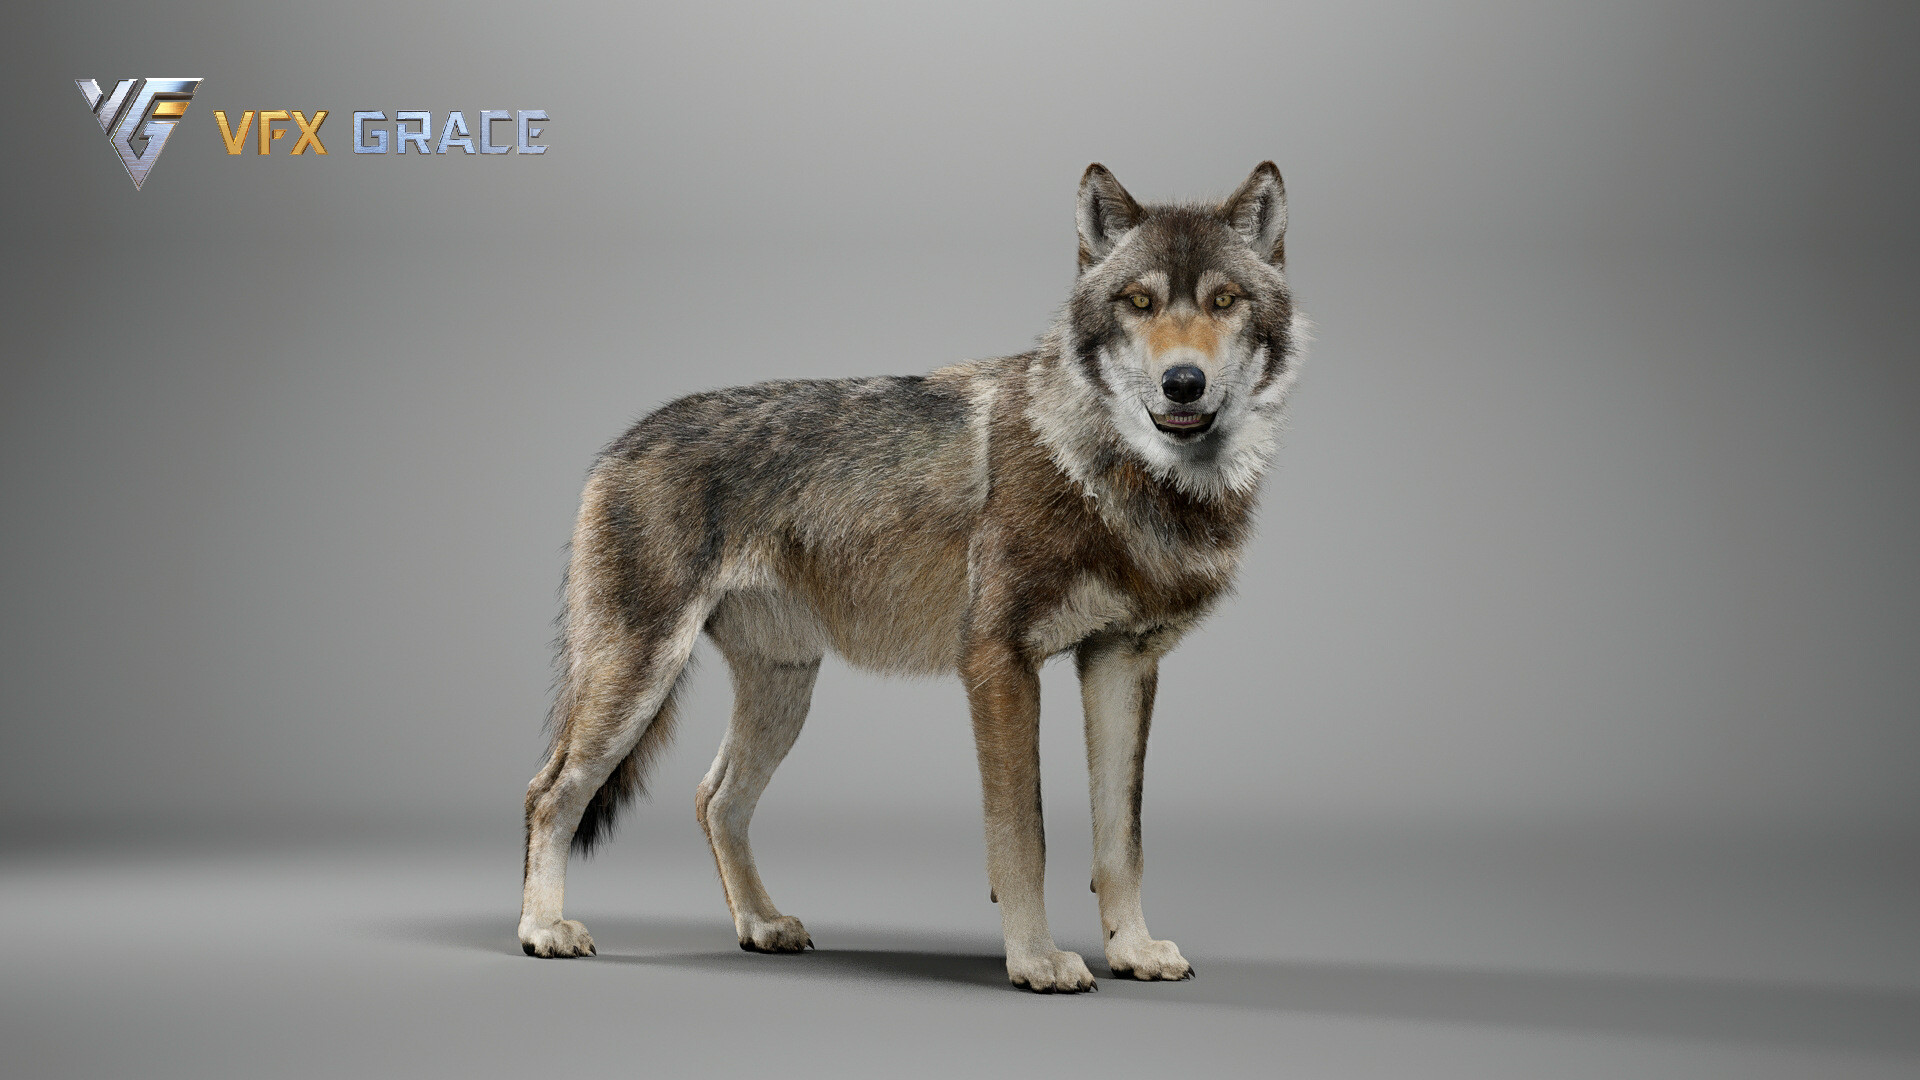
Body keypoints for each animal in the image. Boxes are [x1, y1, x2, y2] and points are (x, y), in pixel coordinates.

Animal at [519, 162, 1304, 992]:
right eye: (1141, 302)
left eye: (1224, 301)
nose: (1183, 382)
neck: (1117, 474)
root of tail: (619, 444)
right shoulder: (998, 663)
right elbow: (1022, 834)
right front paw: (1035, 961)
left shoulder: (1120, 662)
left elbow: (1121, 839)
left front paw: (1132, 951)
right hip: (637, 679)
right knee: (551, 792)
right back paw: (542, 930)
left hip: (782, 693)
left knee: (714, 799)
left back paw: (760, 925)